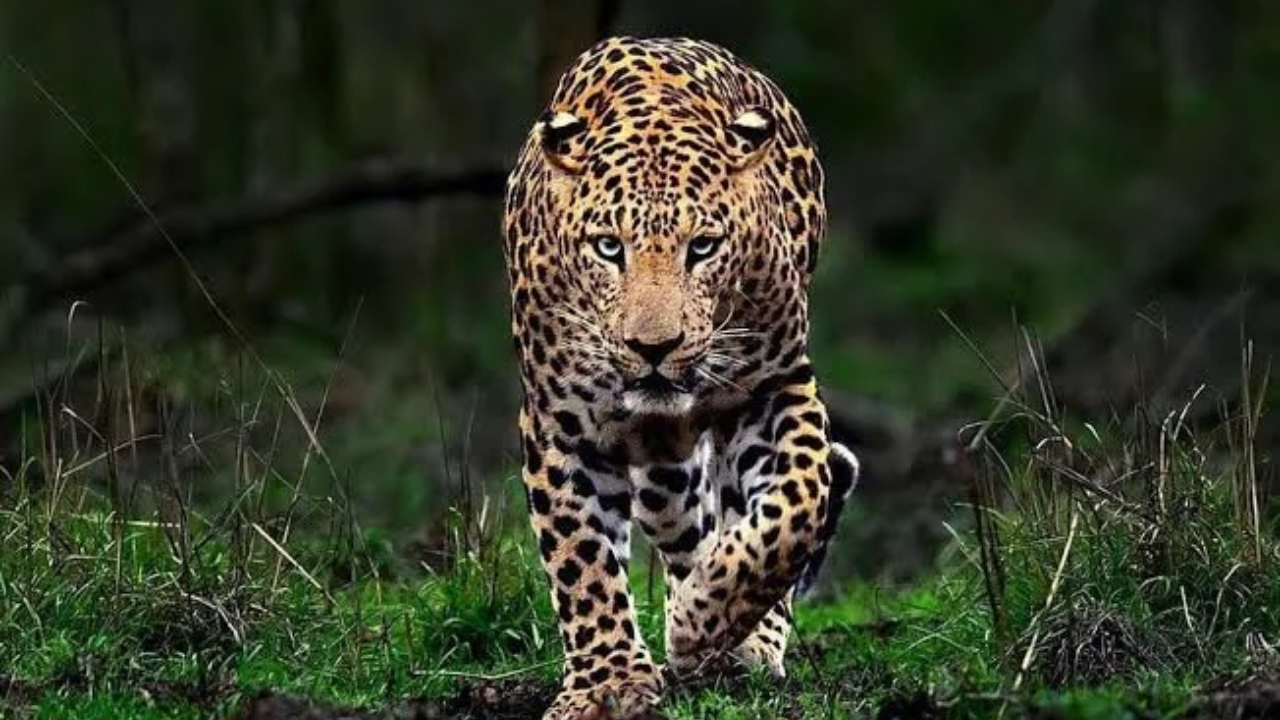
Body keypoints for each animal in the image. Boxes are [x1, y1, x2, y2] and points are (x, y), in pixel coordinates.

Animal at [501, 36, 860, 720]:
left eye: (704, 247)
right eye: (608, 247)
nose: (653, 347)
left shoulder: (775, 385)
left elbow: (799, 502)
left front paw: (703, 619)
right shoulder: (560, 424)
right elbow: (581, 559)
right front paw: (607, 684)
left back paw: (738, 637)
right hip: (663, 469)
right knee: (686, 525)